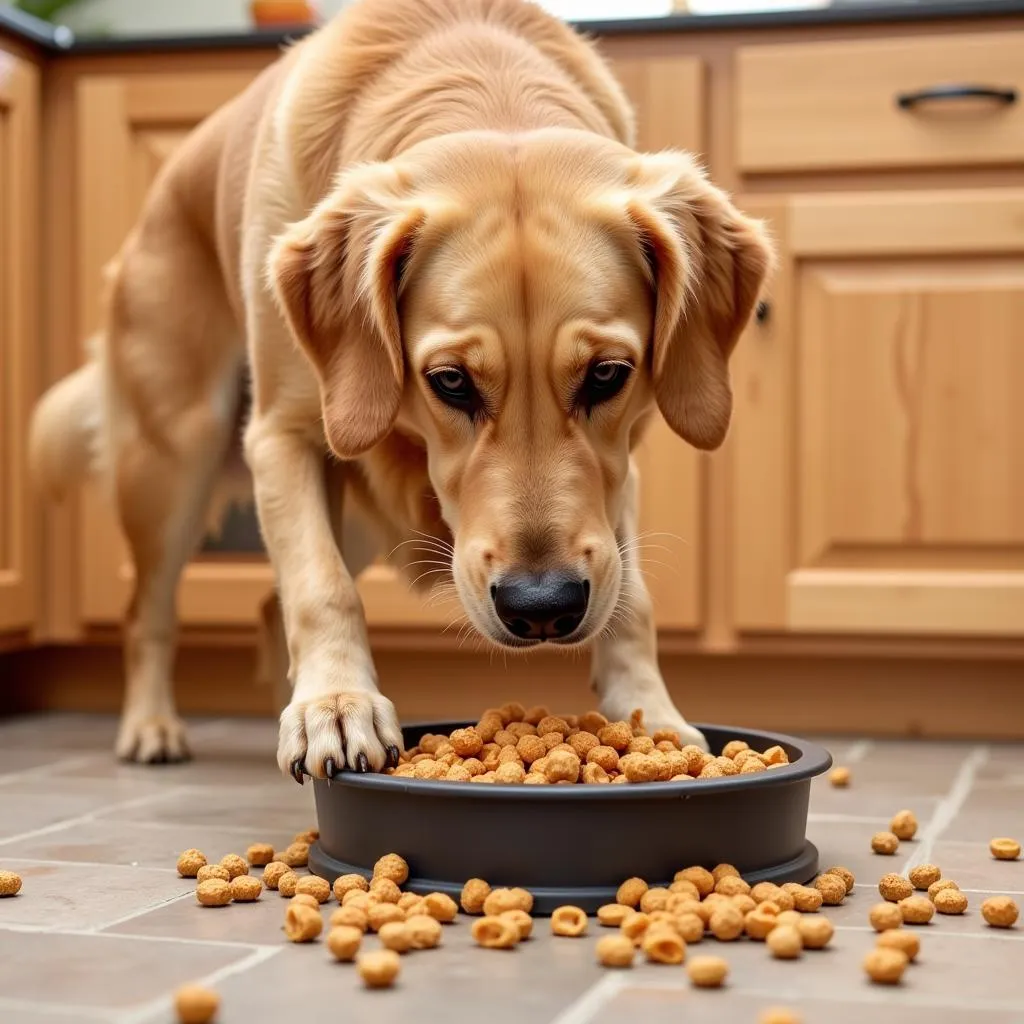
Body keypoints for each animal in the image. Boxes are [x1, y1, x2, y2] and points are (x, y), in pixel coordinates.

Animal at [28, 0, 770, 774]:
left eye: (606, 375)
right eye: (450, 382)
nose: (542, 606)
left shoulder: (618, 466)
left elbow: (632, 599)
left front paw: (650, 717)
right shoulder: (283, 435)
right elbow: (319, 588)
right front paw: (337, 705)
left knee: (263, 609)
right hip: (175, 457)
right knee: (147, 610)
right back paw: (153, 724)